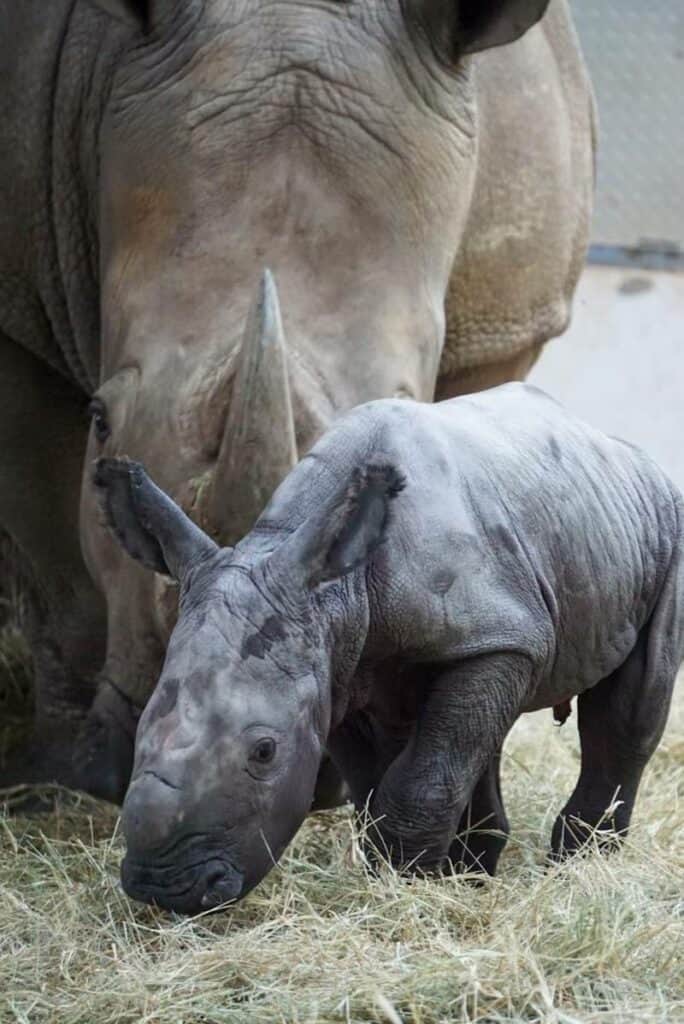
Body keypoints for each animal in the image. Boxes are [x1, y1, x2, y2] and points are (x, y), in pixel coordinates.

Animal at [0, 0, 594, 802]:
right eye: (102, 421)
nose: (220, 731)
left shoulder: (503, 321)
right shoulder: (15, 309)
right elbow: (57, 558)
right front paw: (65, 774)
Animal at [93, 383, 683, 913]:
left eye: (264, 751)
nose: (165, 889)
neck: (333, 591)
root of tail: (625, 451)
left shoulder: (493, 635)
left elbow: (421, 777)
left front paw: (405, 886)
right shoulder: (335, 663)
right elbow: (376, 784)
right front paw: (406, 879)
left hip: (663, 525)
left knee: (624, 712)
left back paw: (579, 869)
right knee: (481, 733)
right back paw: (477, 873)